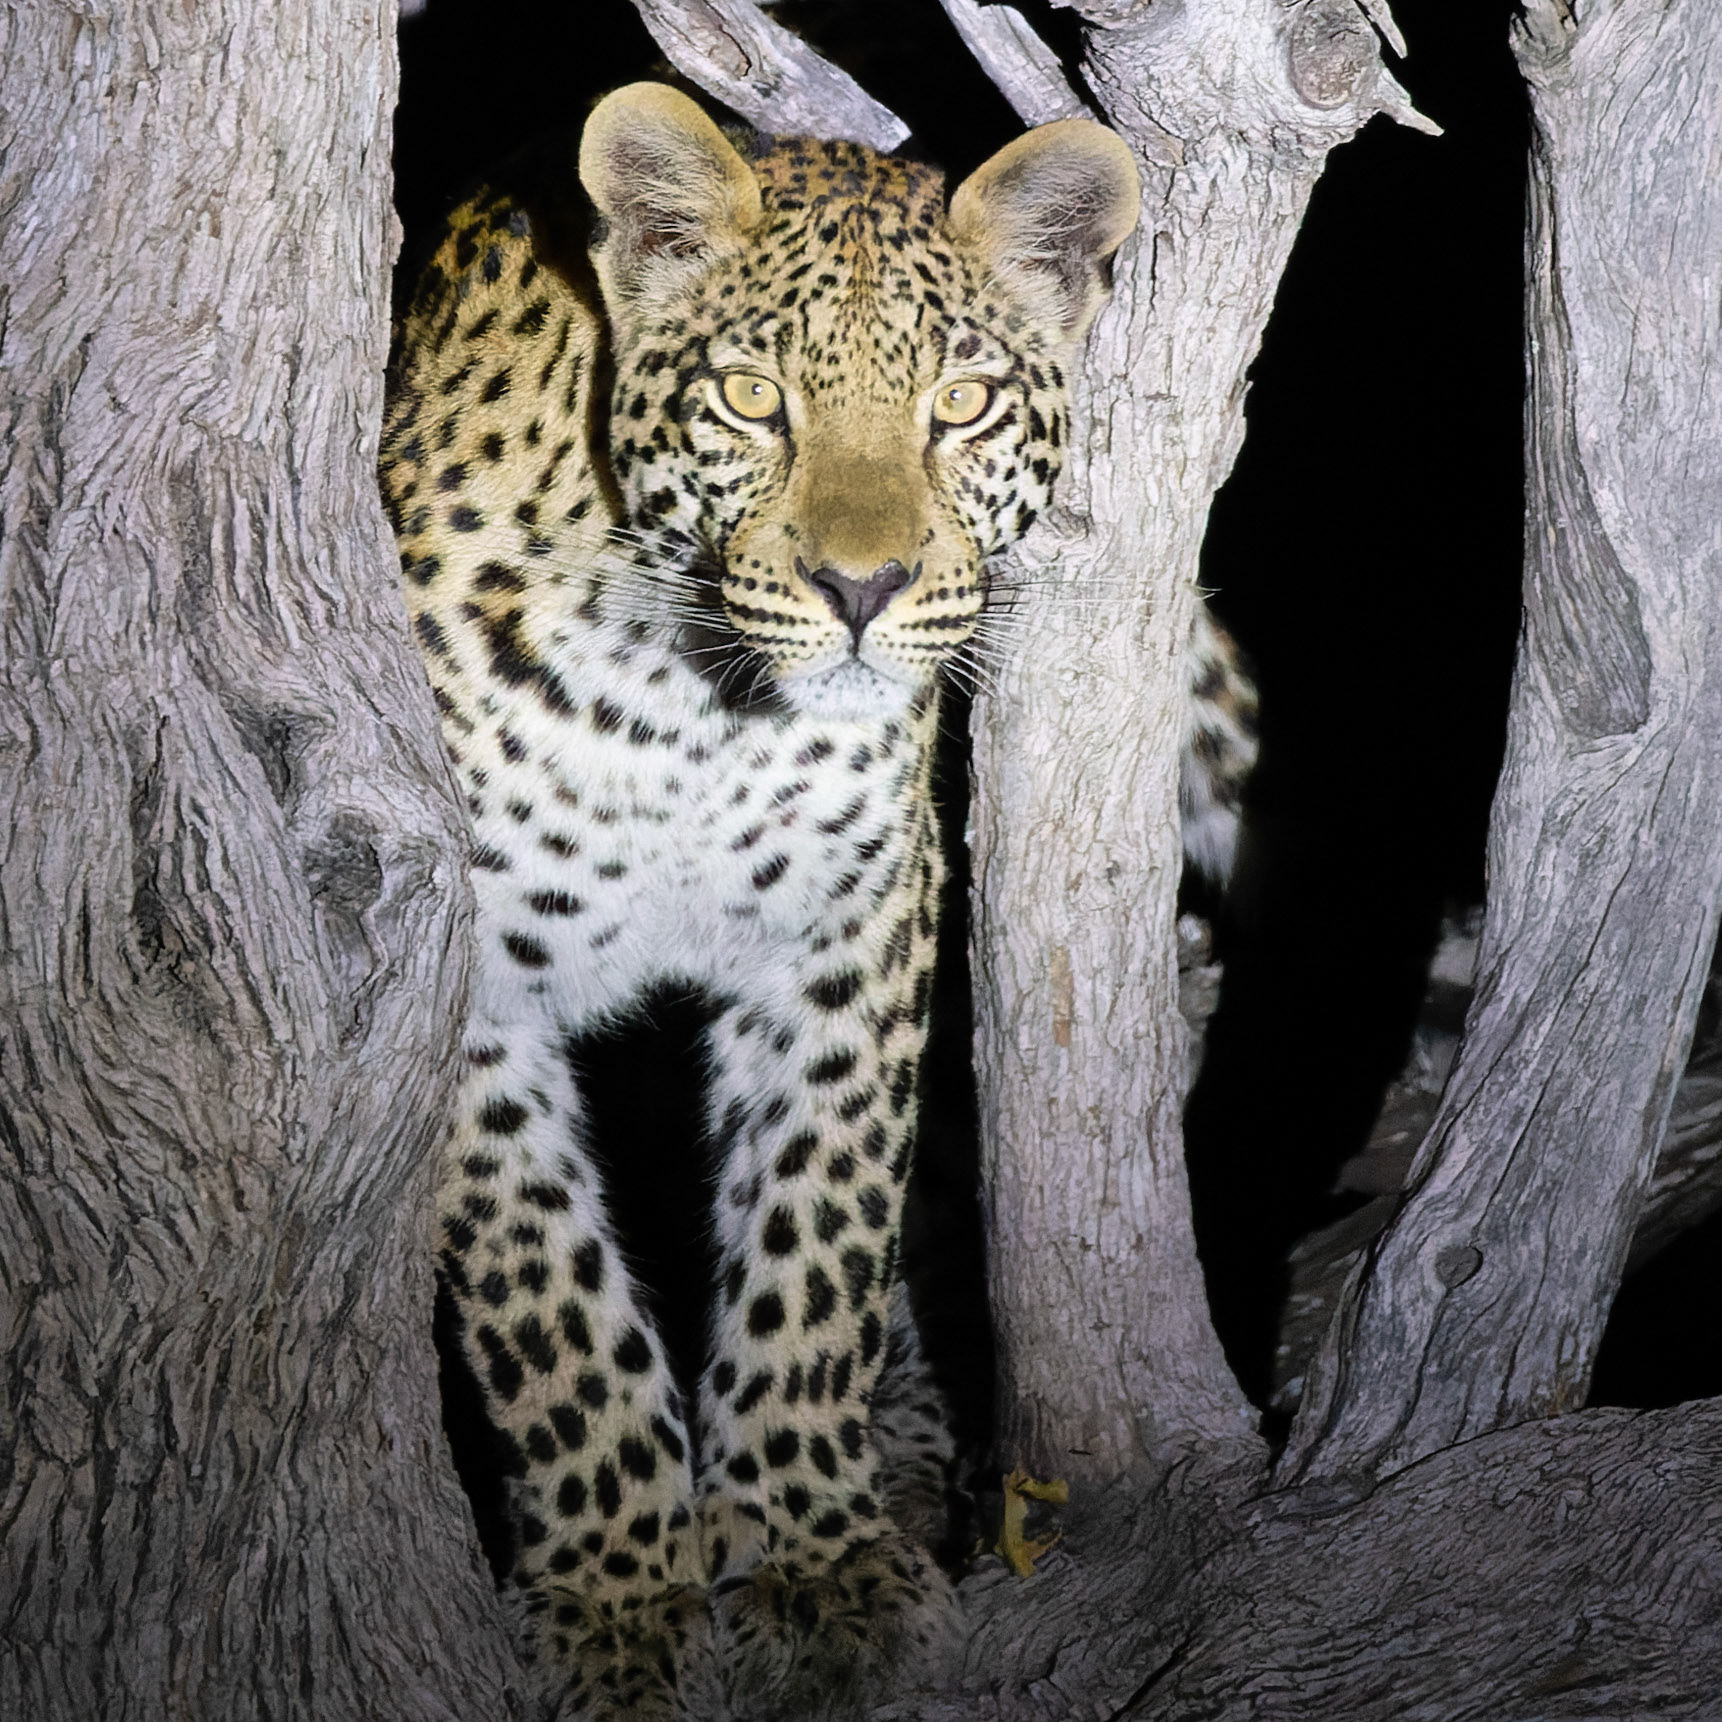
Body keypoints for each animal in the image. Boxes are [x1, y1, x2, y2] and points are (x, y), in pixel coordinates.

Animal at [380, 82, 1254, 1721]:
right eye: (747, 398)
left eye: (961, 406)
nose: (863, 588)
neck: (681, 710)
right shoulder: (461, 982)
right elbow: (550, 1303)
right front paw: (617, 1593)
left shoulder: (853, 929)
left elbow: (817, 1234)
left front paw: (810, 1551)